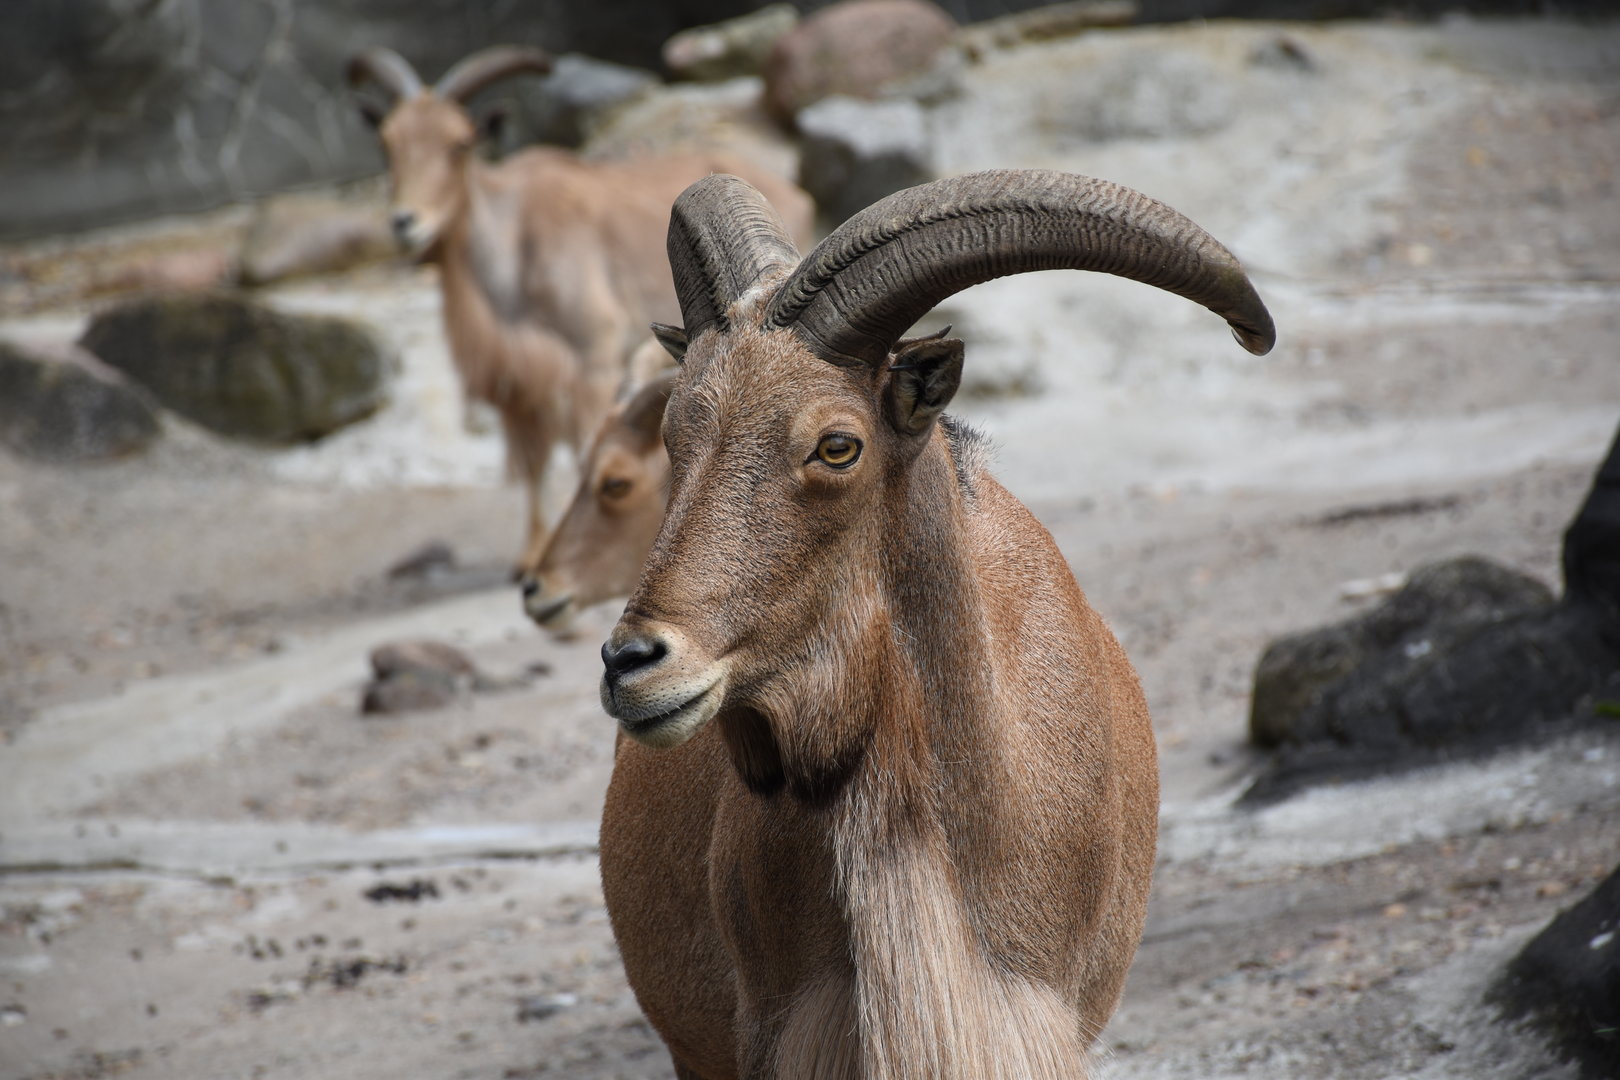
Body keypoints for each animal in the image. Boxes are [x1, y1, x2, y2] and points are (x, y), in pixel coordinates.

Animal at [347, 46, 812, 570]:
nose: (406, 222)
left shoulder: (591, 358)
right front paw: (530, 554)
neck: (513, 241)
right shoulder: (523, 383)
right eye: (388, 142)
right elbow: (535, 461)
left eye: (459, 144)